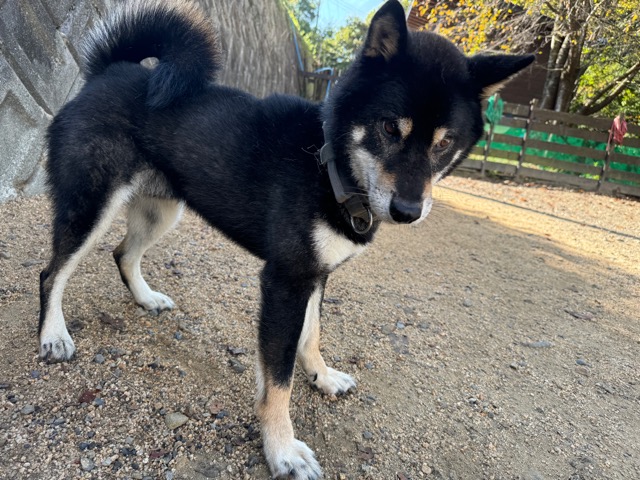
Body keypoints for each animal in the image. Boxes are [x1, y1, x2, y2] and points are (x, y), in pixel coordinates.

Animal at [38, 0, 533, 477]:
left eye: (444, 143)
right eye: (390, 128)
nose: (407, 211)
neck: (327, 164)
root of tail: (108, 72)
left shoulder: (315, 275)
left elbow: (311, 336)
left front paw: (322, 376)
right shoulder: (285, 282)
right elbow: (278, 381)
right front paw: (282, 450)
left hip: (161, 210)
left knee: (124, 253)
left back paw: (145, 299)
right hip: (91, 205)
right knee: (52, 273)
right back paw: (53, 335)